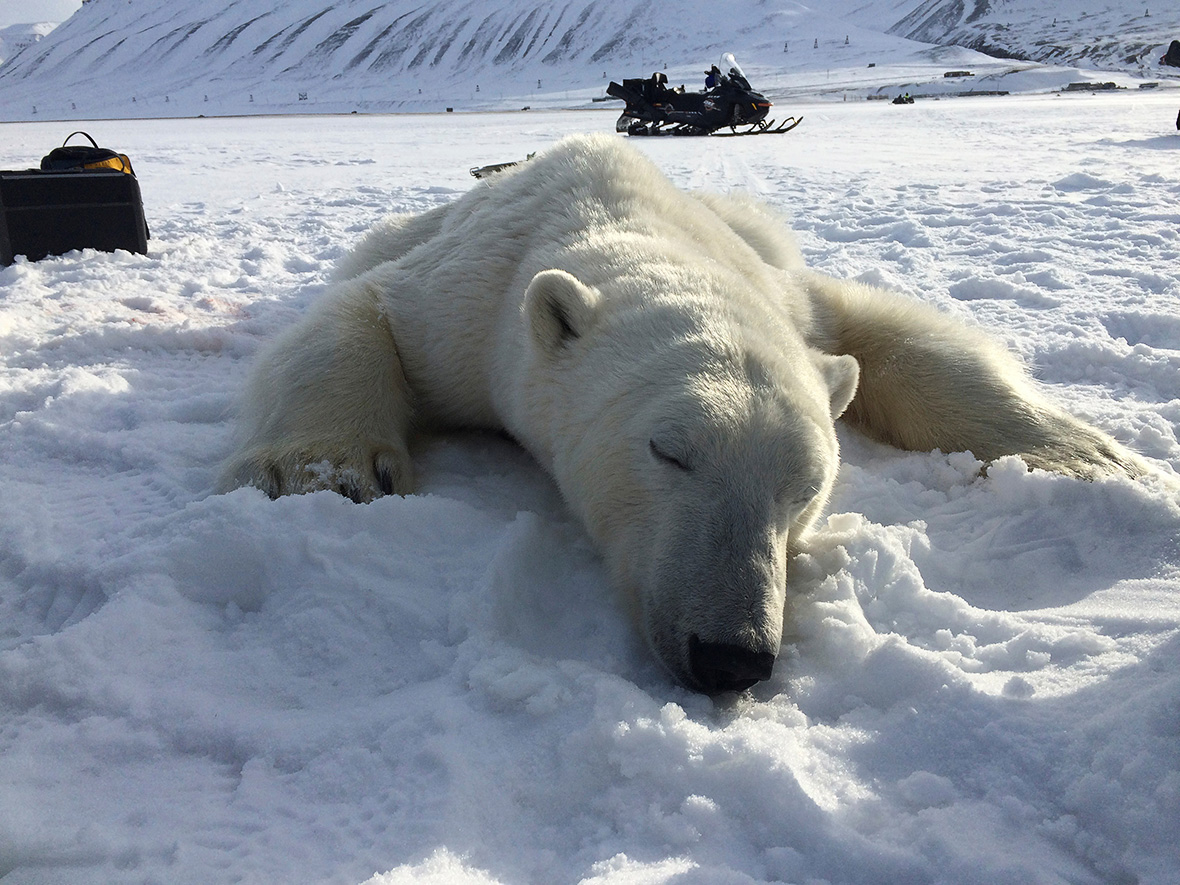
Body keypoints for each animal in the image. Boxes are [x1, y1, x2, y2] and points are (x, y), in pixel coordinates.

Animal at [219, 135, 1142, 698]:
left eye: (805, 488)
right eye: (670, 451)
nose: (733, 654)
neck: (620, 223)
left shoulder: (789, 298)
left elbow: (885, 335)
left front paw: (1095, 457)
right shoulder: (471, 299)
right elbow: (360, 314)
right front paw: (324, 472)